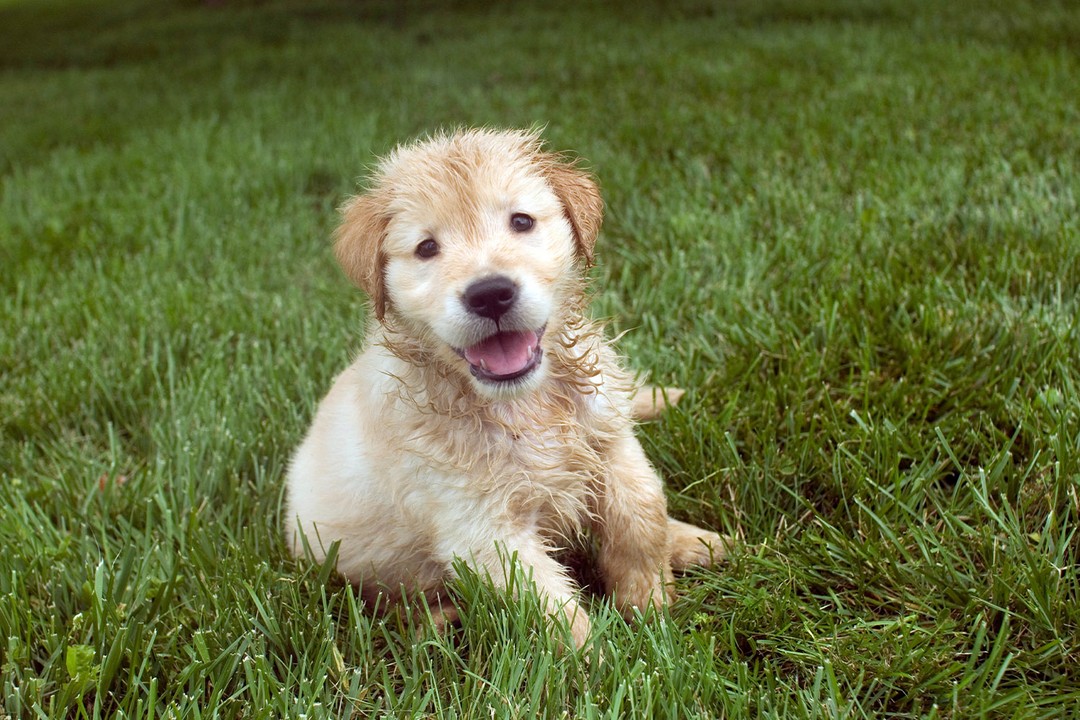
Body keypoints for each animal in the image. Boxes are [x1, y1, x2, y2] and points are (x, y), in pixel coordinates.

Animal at [287, 129, 725, 647]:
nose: (490, 294)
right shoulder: (482, 529)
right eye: (426, 248)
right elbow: (553, 608)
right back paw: (438, 620)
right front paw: (604, 658)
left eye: (521, 221)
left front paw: (650, 603)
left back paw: (696, 540)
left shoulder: (611, 442)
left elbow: (641, 512)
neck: (523, 403)